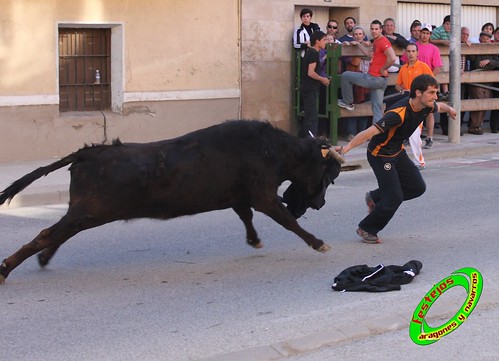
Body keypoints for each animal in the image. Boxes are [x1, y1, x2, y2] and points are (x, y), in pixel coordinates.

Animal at [0, 119, 344, 282]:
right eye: (327, 174)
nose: (320, 204)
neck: (272, 149)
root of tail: (87, 152)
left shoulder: (240, 196)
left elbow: (246, 216)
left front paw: (255, 240)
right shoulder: (264, 197)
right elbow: (287, 221)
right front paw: (319, 243)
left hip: (84, 213)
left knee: (56, 235)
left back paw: (40, 260)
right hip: (88, 211)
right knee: (47, 234)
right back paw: (5, 270)